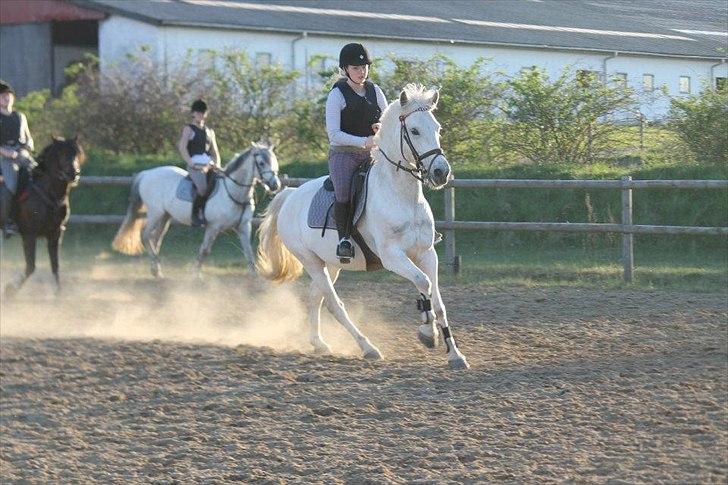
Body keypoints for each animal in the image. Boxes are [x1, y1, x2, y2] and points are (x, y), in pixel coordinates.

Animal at [2, 136, 84, 294]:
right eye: (60, 153)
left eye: (76, 153)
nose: (73, 174)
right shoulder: (29, 235)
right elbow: (31, 267)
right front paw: (10, 290)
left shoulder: (55, 234)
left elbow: (55, 265)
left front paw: (58, 293)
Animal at [112, 141, 280, 276]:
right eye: (261, 163)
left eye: (274, 161)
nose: (275, 185)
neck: (233, 192)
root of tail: (146, 174)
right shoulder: (213, 227)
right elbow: (205, 250)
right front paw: (195, 274)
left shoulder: (244, 226)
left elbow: (248, 251)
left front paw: (254, 277)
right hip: (155, 213)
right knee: (145, 235)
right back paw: (156, 269)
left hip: (165, 216)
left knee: (155, 238)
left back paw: (156, 269)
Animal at [258, 84, 470, 370]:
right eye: (414, 130)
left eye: (437, 128)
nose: (441, 173)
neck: (402, 197)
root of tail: (290, 195)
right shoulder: (392, 256)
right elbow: (422, 282)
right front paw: (427, 333)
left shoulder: (427, 254)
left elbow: (438, 303)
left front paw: (455, 355)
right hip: (310, 261)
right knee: (334, 303)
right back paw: (368, 347)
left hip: (331, 263)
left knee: (316, 297)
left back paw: (319, 344)